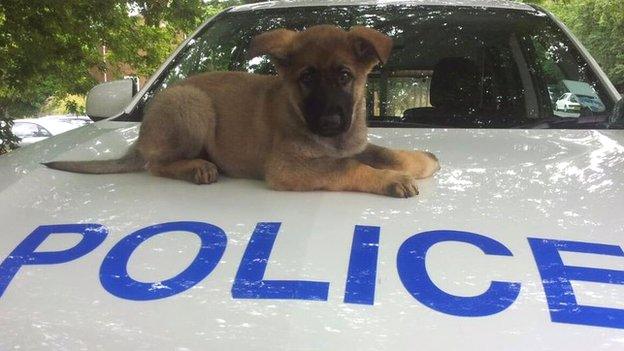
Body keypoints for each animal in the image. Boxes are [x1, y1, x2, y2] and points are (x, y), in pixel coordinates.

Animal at [45, 25, 438, 198]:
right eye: (306, 78)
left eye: (345, 76)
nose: (329, 122)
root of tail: (141, 136)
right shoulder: (287, 168)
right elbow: (349, 167)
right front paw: (391, 180)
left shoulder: (352, 145)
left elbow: (382, 152)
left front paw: (422, 160)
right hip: (193, 104)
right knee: (156, 165)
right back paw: (197, 167)